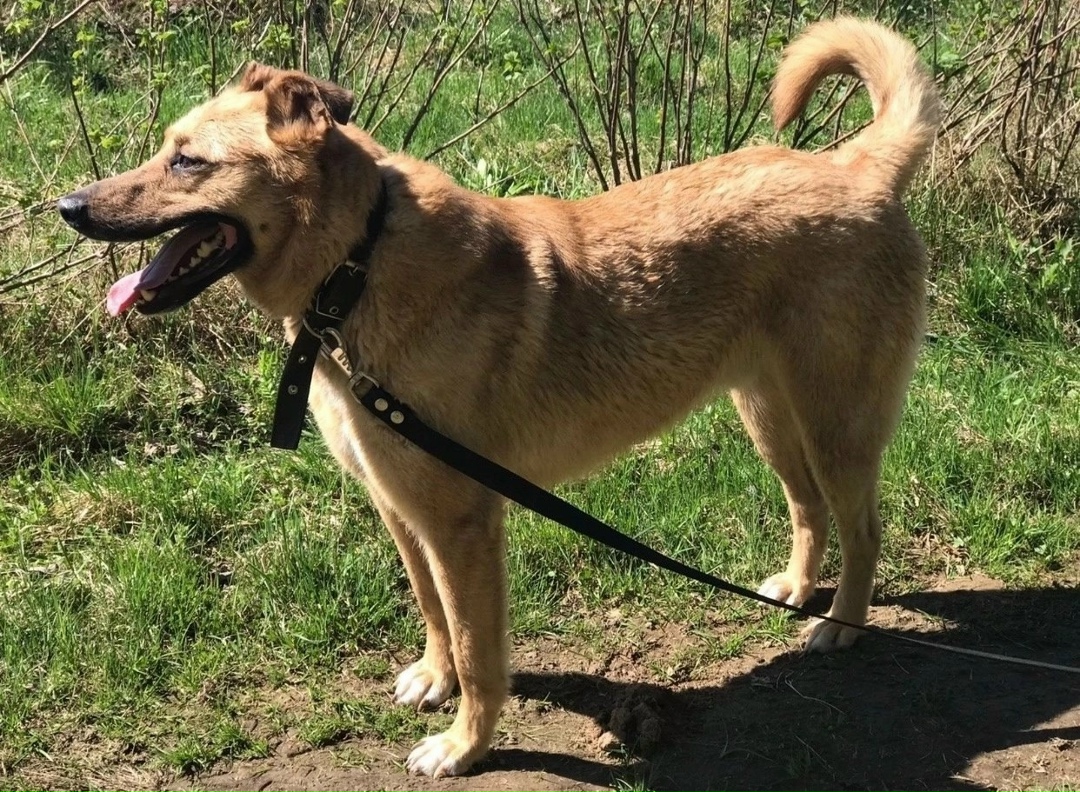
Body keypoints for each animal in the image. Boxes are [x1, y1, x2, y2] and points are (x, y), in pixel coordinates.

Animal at [57, 16, 941, 777]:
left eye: (187, 161)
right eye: (165, 149)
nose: (68, 207)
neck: (358, 266)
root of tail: (855, 165)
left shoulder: (461, 523)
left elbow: (483, 653)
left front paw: (465, 746)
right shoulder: (400, 507)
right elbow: (435, 614)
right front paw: (434, 679)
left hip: (837, 422)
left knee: (863, 527)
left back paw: (839, 624)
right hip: (767, 413)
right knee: (808, 507)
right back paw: (794, 587)